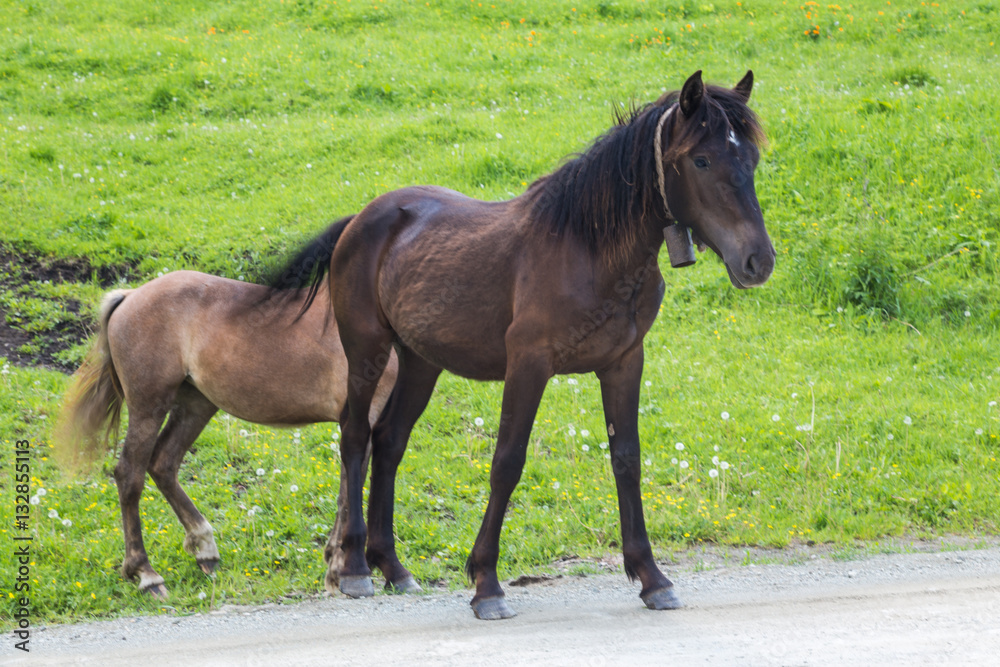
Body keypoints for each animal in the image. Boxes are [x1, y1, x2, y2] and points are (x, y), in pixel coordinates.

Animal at [56, 219, 400, 600]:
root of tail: (130, 296)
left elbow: (350, 487)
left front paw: (337, 566)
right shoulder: (358, 420)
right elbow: (348, 491)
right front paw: (342, 571)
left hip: (196, 405)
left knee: (163, 463)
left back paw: (205, 549)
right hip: (149, 406)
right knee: (130, 474)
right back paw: (146, 574)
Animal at [288, 70, 772, 620]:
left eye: (751, 158)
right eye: (702, 159)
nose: (758, 260)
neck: (589, 249)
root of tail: (360, 220)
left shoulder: (625, 363)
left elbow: (626, 461)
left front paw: (652, 577)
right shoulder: (528, 365)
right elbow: (507, 462)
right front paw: (486, 583)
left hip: (421, 361)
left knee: (389, 440)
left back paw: (393, 566)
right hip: (367, 351)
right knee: (354, 436)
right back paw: (353, 567)